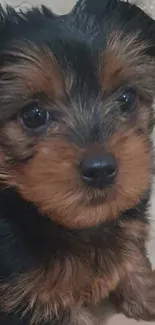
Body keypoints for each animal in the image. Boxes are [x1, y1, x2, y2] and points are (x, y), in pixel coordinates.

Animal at [0, 0, 155, 322]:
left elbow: (133, 255)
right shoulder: (31, 299)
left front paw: (146, 293)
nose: (101, 169)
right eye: (34, 115)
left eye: (126, 99)